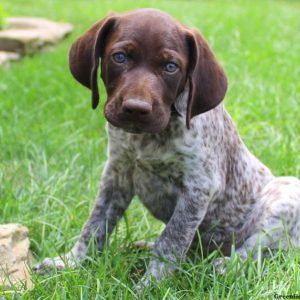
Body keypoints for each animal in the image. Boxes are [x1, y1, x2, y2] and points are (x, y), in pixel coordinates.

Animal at [36, 8, 300, 286]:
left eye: (171, 67)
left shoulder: (198, 188)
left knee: (254, 250)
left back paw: (226, 265)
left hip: (287, 195)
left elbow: (171, 240)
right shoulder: (117, 174)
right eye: (120, 57)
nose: (136, 108)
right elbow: (96, 223)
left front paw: (150, 285)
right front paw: (71, 262)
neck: (147, 139)